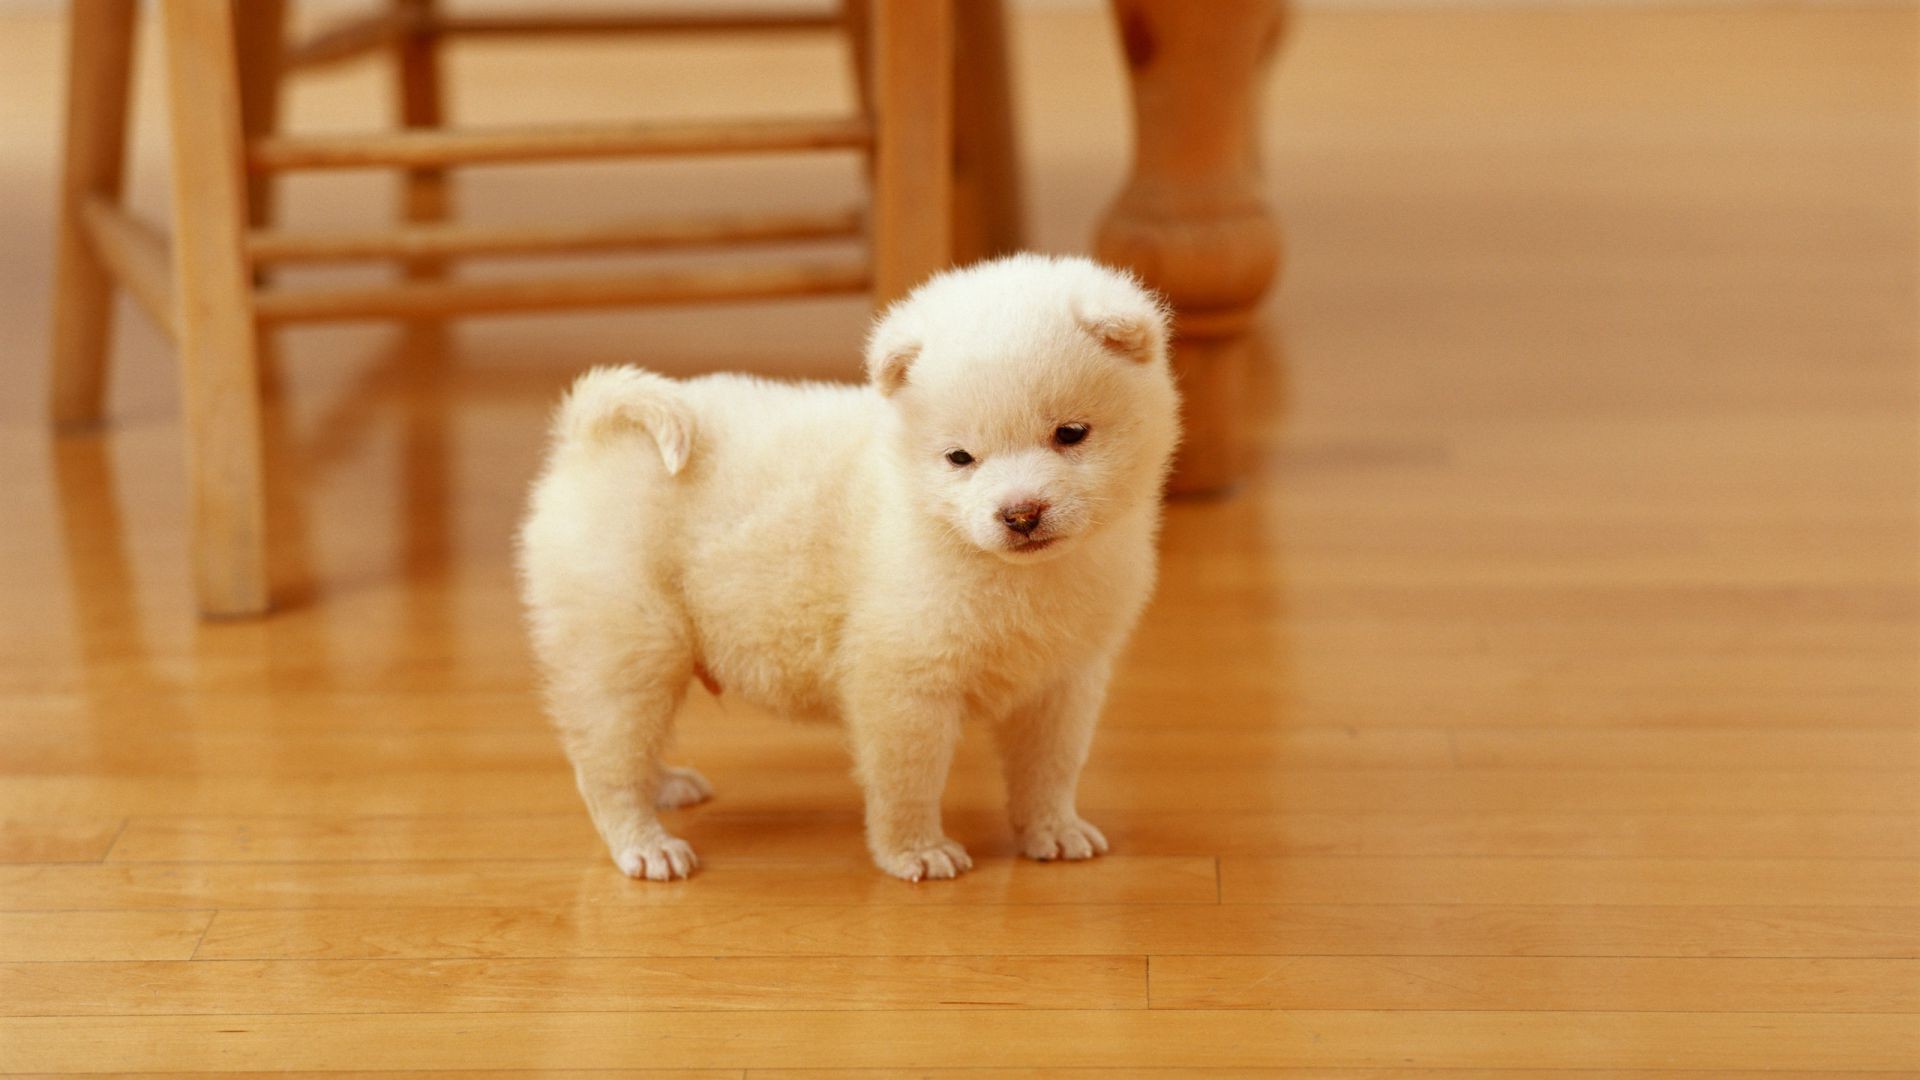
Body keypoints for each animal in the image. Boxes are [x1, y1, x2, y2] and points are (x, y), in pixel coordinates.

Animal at [518, 255, 1175, 880]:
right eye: (960, 457)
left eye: (1071, 433)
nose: (1020, 513)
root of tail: (587, 438)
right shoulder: (903, 683)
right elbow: (908, 780)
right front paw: (916, 852)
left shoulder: (1063, 680)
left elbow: (1050, 768)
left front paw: (1052, 831)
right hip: (629, 647)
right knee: (607, 765)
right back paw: (646, 844)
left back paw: (667, 787)